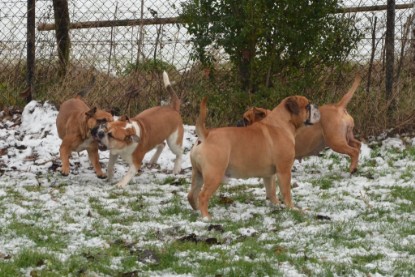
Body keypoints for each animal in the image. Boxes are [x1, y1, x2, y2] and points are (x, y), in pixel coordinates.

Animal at [189, 95, 322, 218]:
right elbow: (286, 192)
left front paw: (276, 206)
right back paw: (206, 217)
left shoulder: (268, 175)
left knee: (191, 195)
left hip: (198, 174)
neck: (282, 123)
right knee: (202, 195)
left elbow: (271, 191)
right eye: (307, 106)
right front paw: (292, 208)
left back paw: (196, 210)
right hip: (214, 175)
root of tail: (206, 135)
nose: (316, 105)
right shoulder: (284, 171)